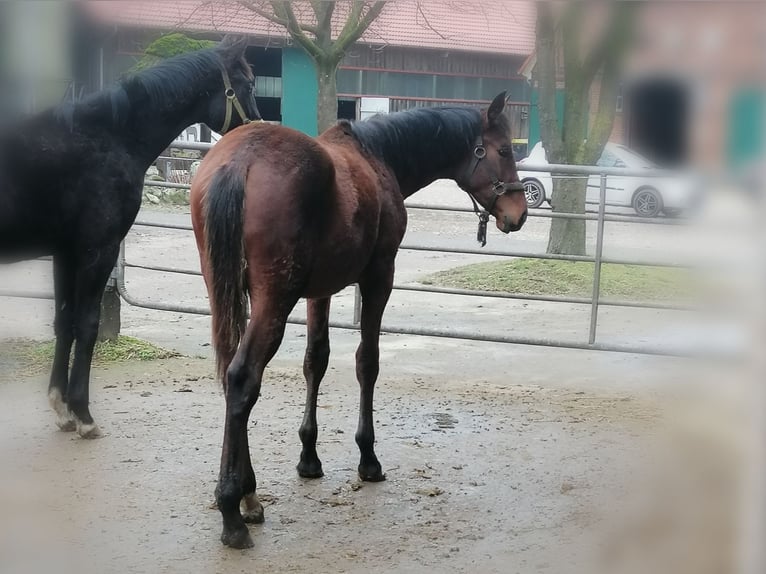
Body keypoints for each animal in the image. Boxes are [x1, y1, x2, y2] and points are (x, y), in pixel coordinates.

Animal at [0, 37, 260, 440]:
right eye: (247, 85)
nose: (258, 128)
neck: (108, 137)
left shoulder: (66, 253)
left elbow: (64, 321)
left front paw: (62, 408)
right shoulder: (98, 251)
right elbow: (87, 325)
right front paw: (84, 415)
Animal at [191, 92, 528, 552]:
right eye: (505, 151)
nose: (519, 213)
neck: (376, 157)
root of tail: (239, 161)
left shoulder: (319, 292)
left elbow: (315, 360)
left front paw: (309, 458)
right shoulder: (378, 277)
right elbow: (367, 362)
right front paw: (368, 459)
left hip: (223, 291)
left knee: (229, 373)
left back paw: (249, 497)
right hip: (273, 301)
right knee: (243, 378)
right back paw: (232, 513)